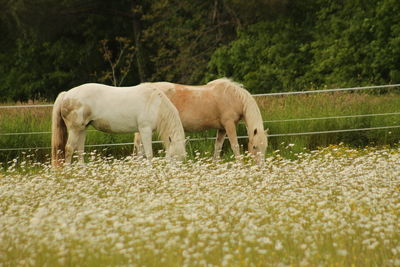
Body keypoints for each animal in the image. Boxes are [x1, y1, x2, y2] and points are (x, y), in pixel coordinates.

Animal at [50, 84, 187, 168]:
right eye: (173, 156)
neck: (155, 103)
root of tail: (66, 94)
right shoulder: (145, 130)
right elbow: (149, 154)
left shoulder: (143, 132)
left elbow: (141, 153)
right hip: (74, 130)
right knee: (69, 149)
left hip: (82, 129)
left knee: (80, 150)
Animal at [133, 78, 268, 163]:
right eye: (254, 147)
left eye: (265, 147)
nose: (260, 167)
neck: (233, 97)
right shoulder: (229, 125)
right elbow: (235, 146)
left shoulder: (222, 129)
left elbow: (217, 147)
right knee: (140, 145)